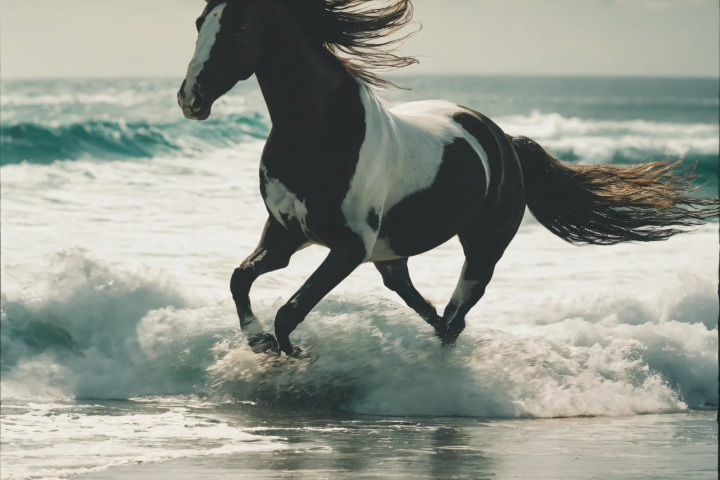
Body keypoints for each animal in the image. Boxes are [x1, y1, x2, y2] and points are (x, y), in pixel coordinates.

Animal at [177, 0, 718, 356]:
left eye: (238, 26)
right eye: (200, 22)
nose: (189, 98)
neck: (321, 134)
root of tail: (506, 142)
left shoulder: (348, 246)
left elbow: (290, 309)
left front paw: (291, 353)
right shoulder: (286, 234)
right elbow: (240, 279)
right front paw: (260, 343)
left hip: (482, 249)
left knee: (457, 312)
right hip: (390, 254)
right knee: (426, 305)